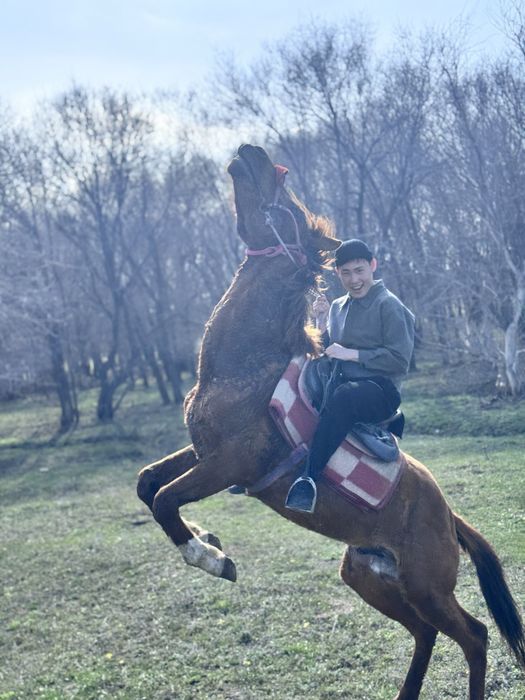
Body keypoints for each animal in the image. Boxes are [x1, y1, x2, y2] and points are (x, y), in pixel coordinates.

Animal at [137, 144, 525, 699]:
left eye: (288, 210)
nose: (252, 152)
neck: (245, 368)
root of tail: (449, 516)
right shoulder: (203, 451)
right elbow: (148, 482)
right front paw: (208, 537)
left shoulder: (229, 464)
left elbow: (166, 499)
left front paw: (211, 557)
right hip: (368, 577)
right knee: (427, 633)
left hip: (426, 585)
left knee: (474, 636)